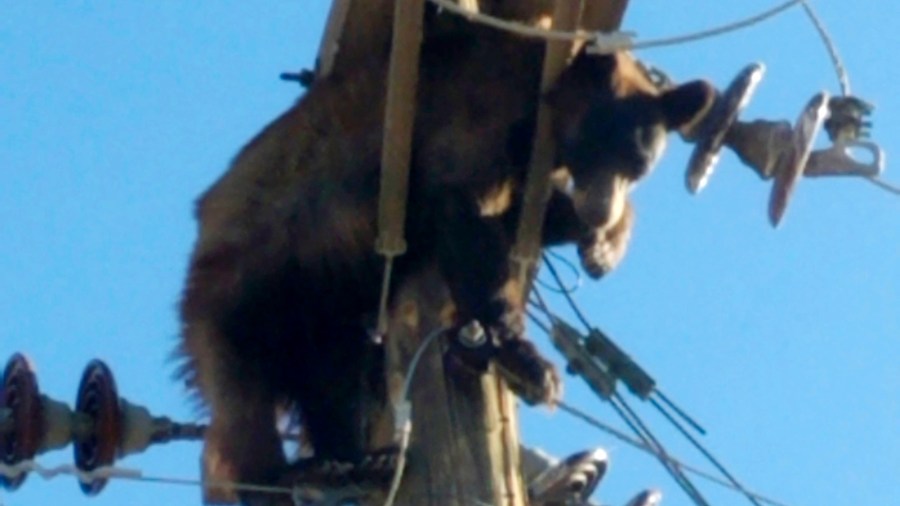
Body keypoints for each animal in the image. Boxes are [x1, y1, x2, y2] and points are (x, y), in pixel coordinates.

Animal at [179, 15, 712, 506]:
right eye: (602, 145)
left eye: (638, 166)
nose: (600, 210)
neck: (539, 111)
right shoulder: (475, 115)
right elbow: (465, 212)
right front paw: (521, 355)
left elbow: (517, 216)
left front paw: (604, 243)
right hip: (244, 293)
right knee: (243, 405)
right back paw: (275, 478)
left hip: (321, 312)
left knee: (333, 379)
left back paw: (350, 462)